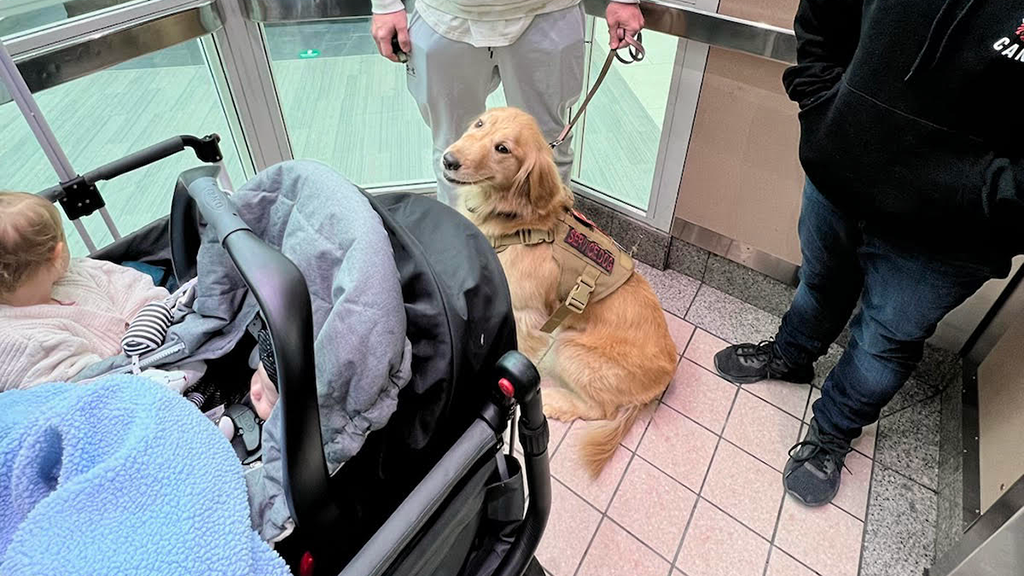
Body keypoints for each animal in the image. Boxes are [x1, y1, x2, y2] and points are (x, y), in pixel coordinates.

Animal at [442, 106, 675, 471]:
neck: (518, 223)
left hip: (569, 347)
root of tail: (666, 376)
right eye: (479, 124)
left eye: (503, 149)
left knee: (599, 409)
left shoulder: (526, 315)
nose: (449, 160)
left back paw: (554, 402)